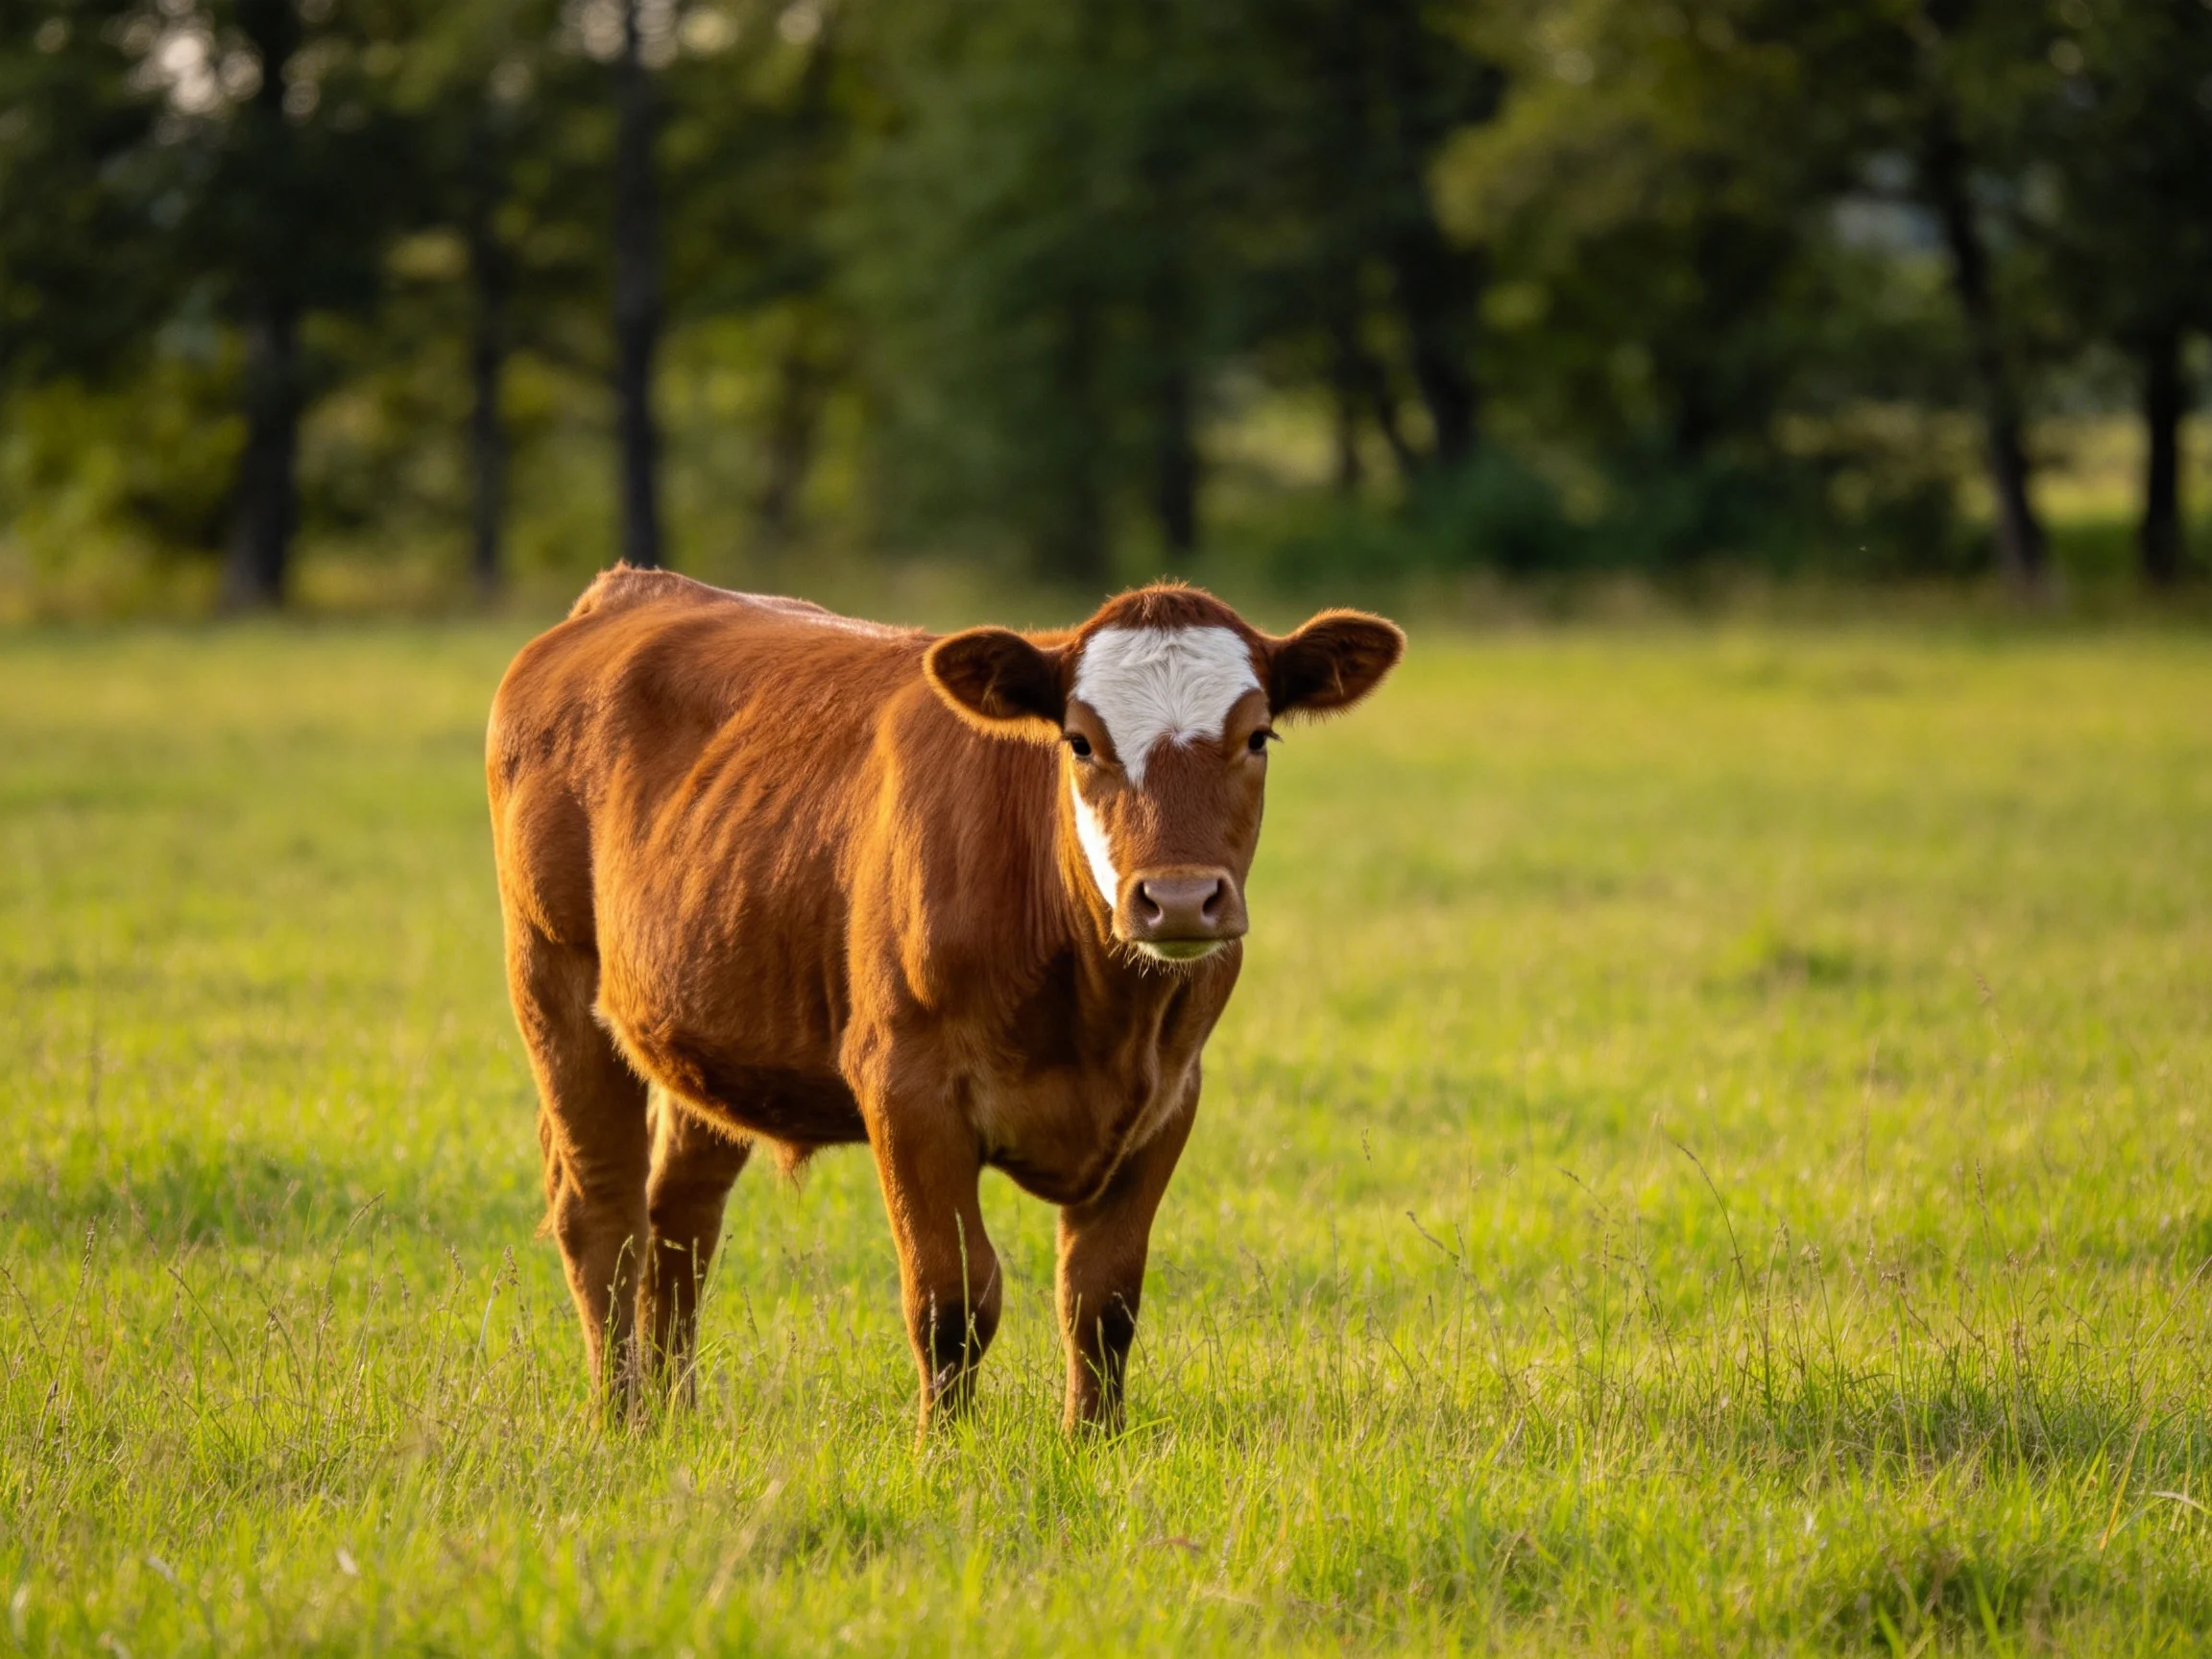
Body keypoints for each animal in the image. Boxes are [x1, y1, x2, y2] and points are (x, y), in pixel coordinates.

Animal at [486, 569, 1403, 1434]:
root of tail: (628, 589)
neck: (1102, 1015)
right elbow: (951, 1300)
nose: (1177, 900)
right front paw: (944, 1453)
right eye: (1080, 741)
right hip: (551, 978)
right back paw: (622, 1422)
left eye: (1257, 736)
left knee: (680, 1218)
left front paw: (1092, 1445)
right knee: (604, 1218)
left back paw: (676, 1419)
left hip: (702, 1028)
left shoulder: (1170, 1095)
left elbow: (1101, 1300)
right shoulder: (907, 1087)